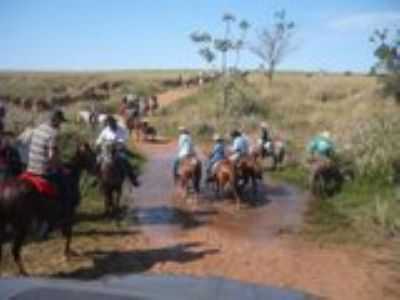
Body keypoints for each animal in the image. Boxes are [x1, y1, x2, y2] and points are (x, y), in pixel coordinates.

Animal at [0, 142, 96, 276]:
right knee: (15, 250)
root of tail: (5, 192)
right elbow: (68, 233)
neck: (70, 175)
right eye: (90, 154)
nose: (96, 169)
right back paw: (24, 272)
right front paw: (66, 253)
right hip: (22, 225)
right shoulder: (69, 213)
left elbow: (60, 230)